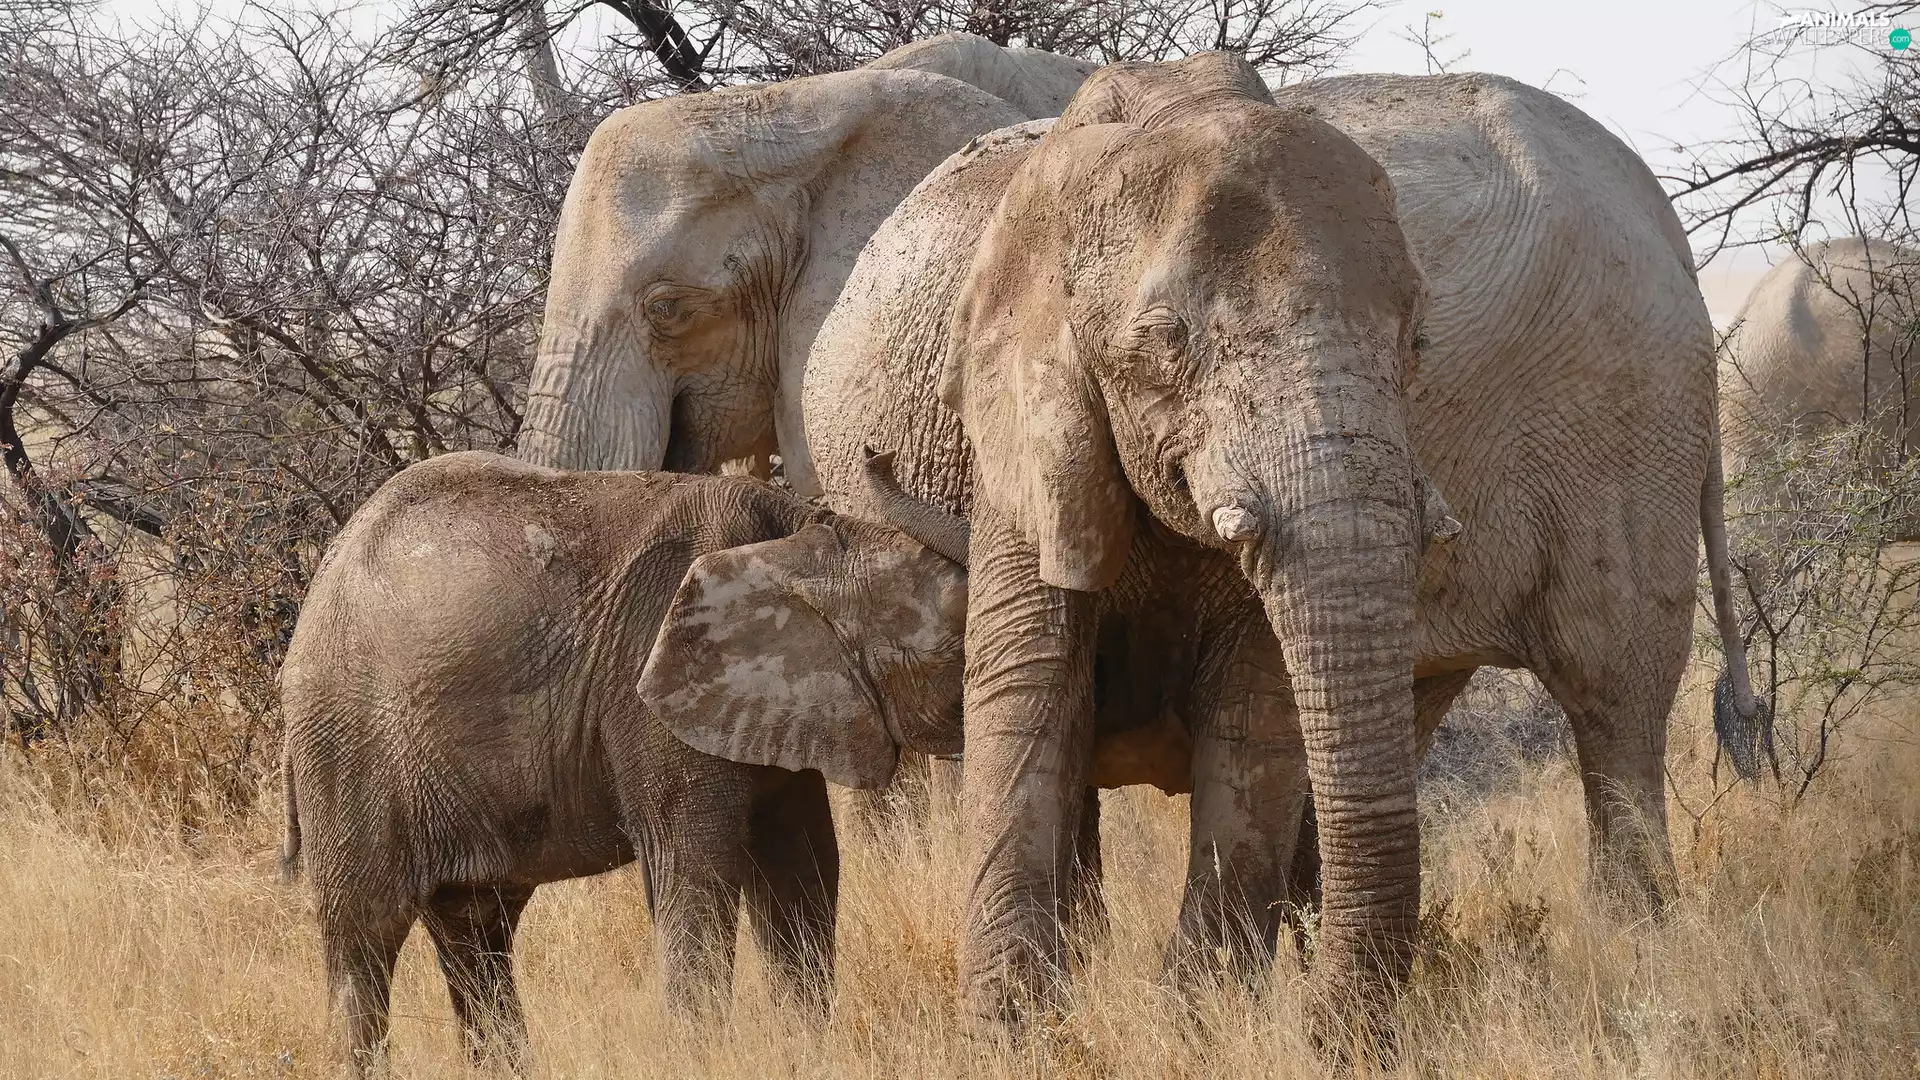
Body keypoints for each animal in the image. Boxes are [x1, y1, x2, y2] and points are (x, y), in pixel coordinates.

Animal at [277, 450, 968, 1073]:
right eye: (956, 648)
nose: (879, 457)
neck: (798, 536)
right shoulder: (653, 696)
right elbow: (692, 873)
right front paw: (701, 1062)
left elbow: (804, 869)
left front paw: (806, 1055)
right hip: (347, 747)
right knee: (365, 937)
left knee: (475, 933)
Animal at [775, 57, 1762, 1024]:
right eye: (1163, 345)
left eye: (1417, 340)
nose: (1337, 1026)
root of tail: (1660, 212)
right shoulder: (1016, 426)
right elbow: (1033, 689)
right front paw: (1018, 1028)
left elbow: (1254, 709)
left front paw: (1199, 1020)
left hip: (1632, 426)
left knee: (1614, 698)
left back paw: (1640, 965)